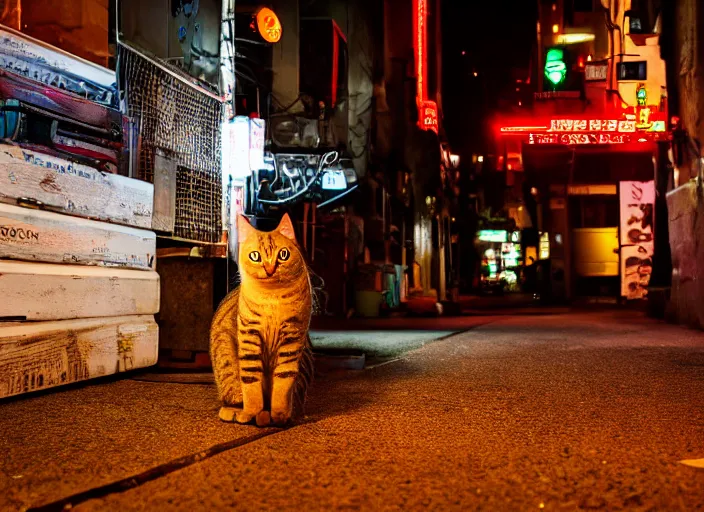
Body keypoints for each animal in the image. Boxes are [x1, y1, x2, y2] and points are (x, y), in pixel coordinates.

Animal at [209, 214, 314, 426]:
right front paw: (250, 413)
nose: (270, 268)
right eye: (255, 256)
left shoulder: (291, 340)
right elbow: (251, 383)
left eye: (283, 254)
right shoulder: (250, 336)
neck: (272, 299)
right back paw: (238, 412)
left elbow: (283, 383)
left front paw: (279, 415)